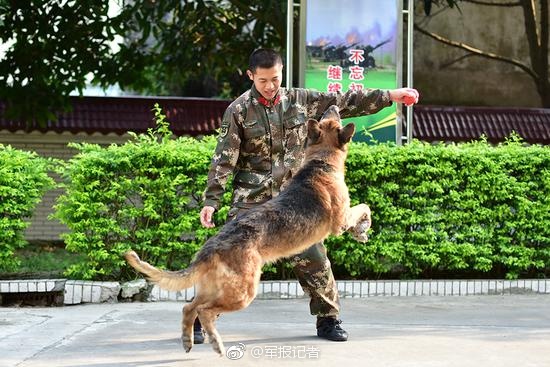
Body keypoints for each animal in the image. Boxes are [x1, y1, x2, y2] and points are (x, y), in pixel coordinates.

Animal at [124, 105, 374, 358]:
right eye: (334, 119)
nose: (333, 106)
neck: (321, 162)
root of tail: (211, 247)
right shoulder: (340, 221)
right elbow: (364, 207)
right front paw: (362, 230)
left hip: (216, 288)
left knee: (189, 307)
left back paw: (190, 340)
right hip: (243, 292)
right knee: (204, 310)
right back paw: (215, 343)